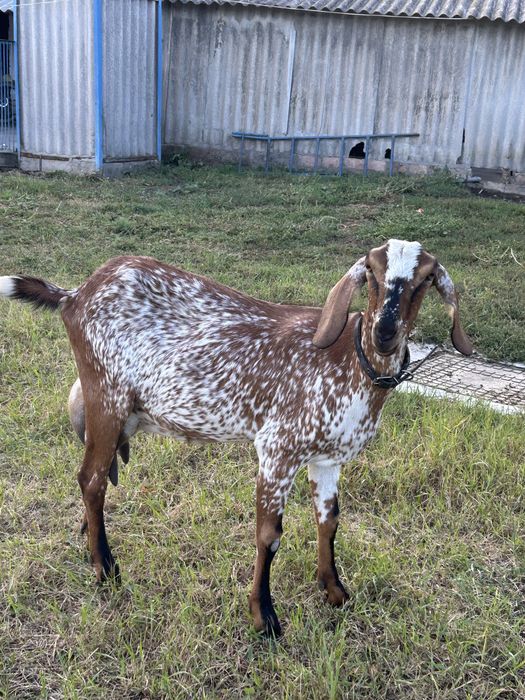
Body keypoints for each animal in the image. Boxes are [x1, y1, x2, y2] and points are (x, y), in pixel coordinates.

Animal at [0, 239, 472, 636]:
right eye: (371, 272)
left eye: (425, 279)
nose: (384, 332)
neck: (347, 362)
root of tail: (75, 294)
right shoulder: (278, 449)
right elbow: (269, 534)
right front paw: (263, 615)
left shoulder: (326, 459)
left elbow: (329, 521)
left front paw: (334, 590)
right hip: (106, 394)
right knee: (92, 479)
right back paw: (105, 567)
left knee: (96, 475)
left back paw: (88, 540)